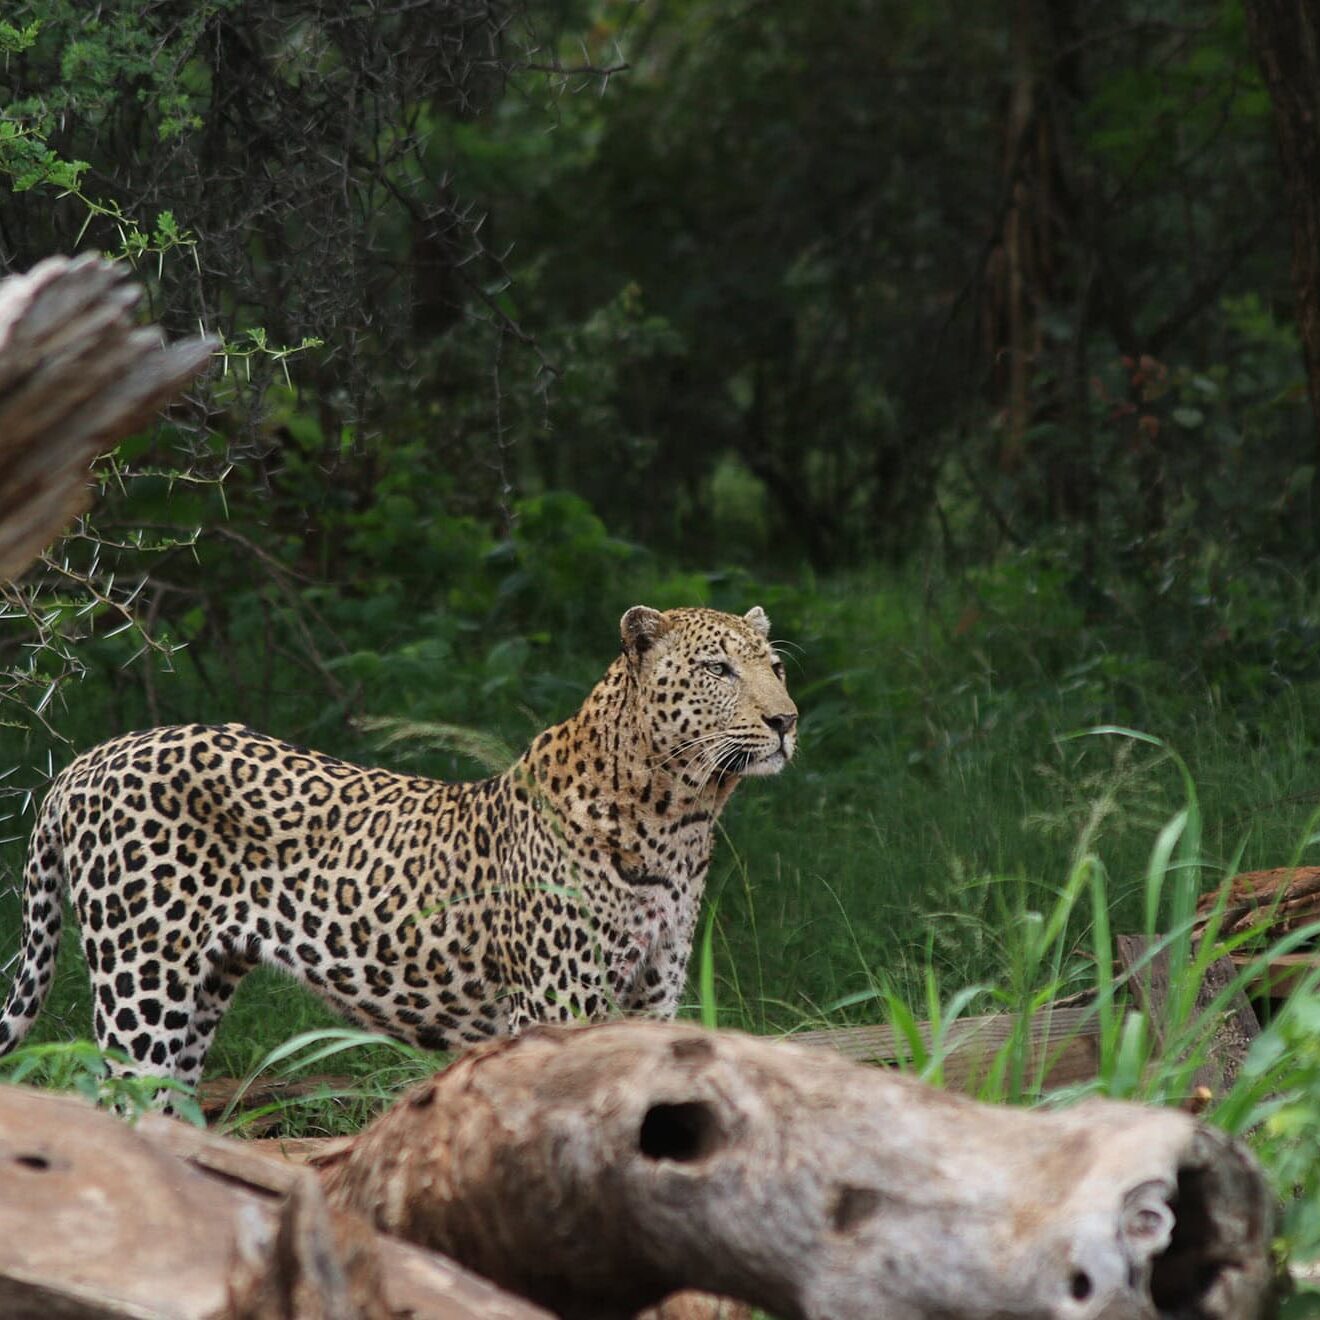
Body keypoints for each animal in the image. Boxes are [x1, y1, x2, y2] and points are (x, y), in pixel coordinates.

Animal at [0, 605, 797, 1084]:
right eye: (718, 670)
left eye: (776, 666)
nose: (787, 720)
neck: (681, 819)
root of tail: (88, 758)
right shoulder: (557, 1003)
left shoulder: (653, 999)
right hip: (142, 985)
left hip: (201, 988)